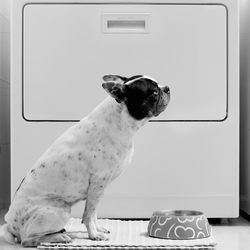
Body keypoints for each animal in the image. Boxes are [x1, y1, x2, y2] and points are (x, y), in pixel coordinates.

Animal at [2, 74, 170, 246]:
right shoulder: (98, 181)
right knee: (28, 239)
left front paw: (98, 229)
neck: (120, 121)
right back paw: (58, 237)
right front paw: (94, 235)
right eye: (154, 92)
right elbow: (88, 214)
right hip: (60, 210)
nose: (167, 88)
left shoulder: (98, 189)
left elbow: (93, 212)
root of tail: (9, 225)